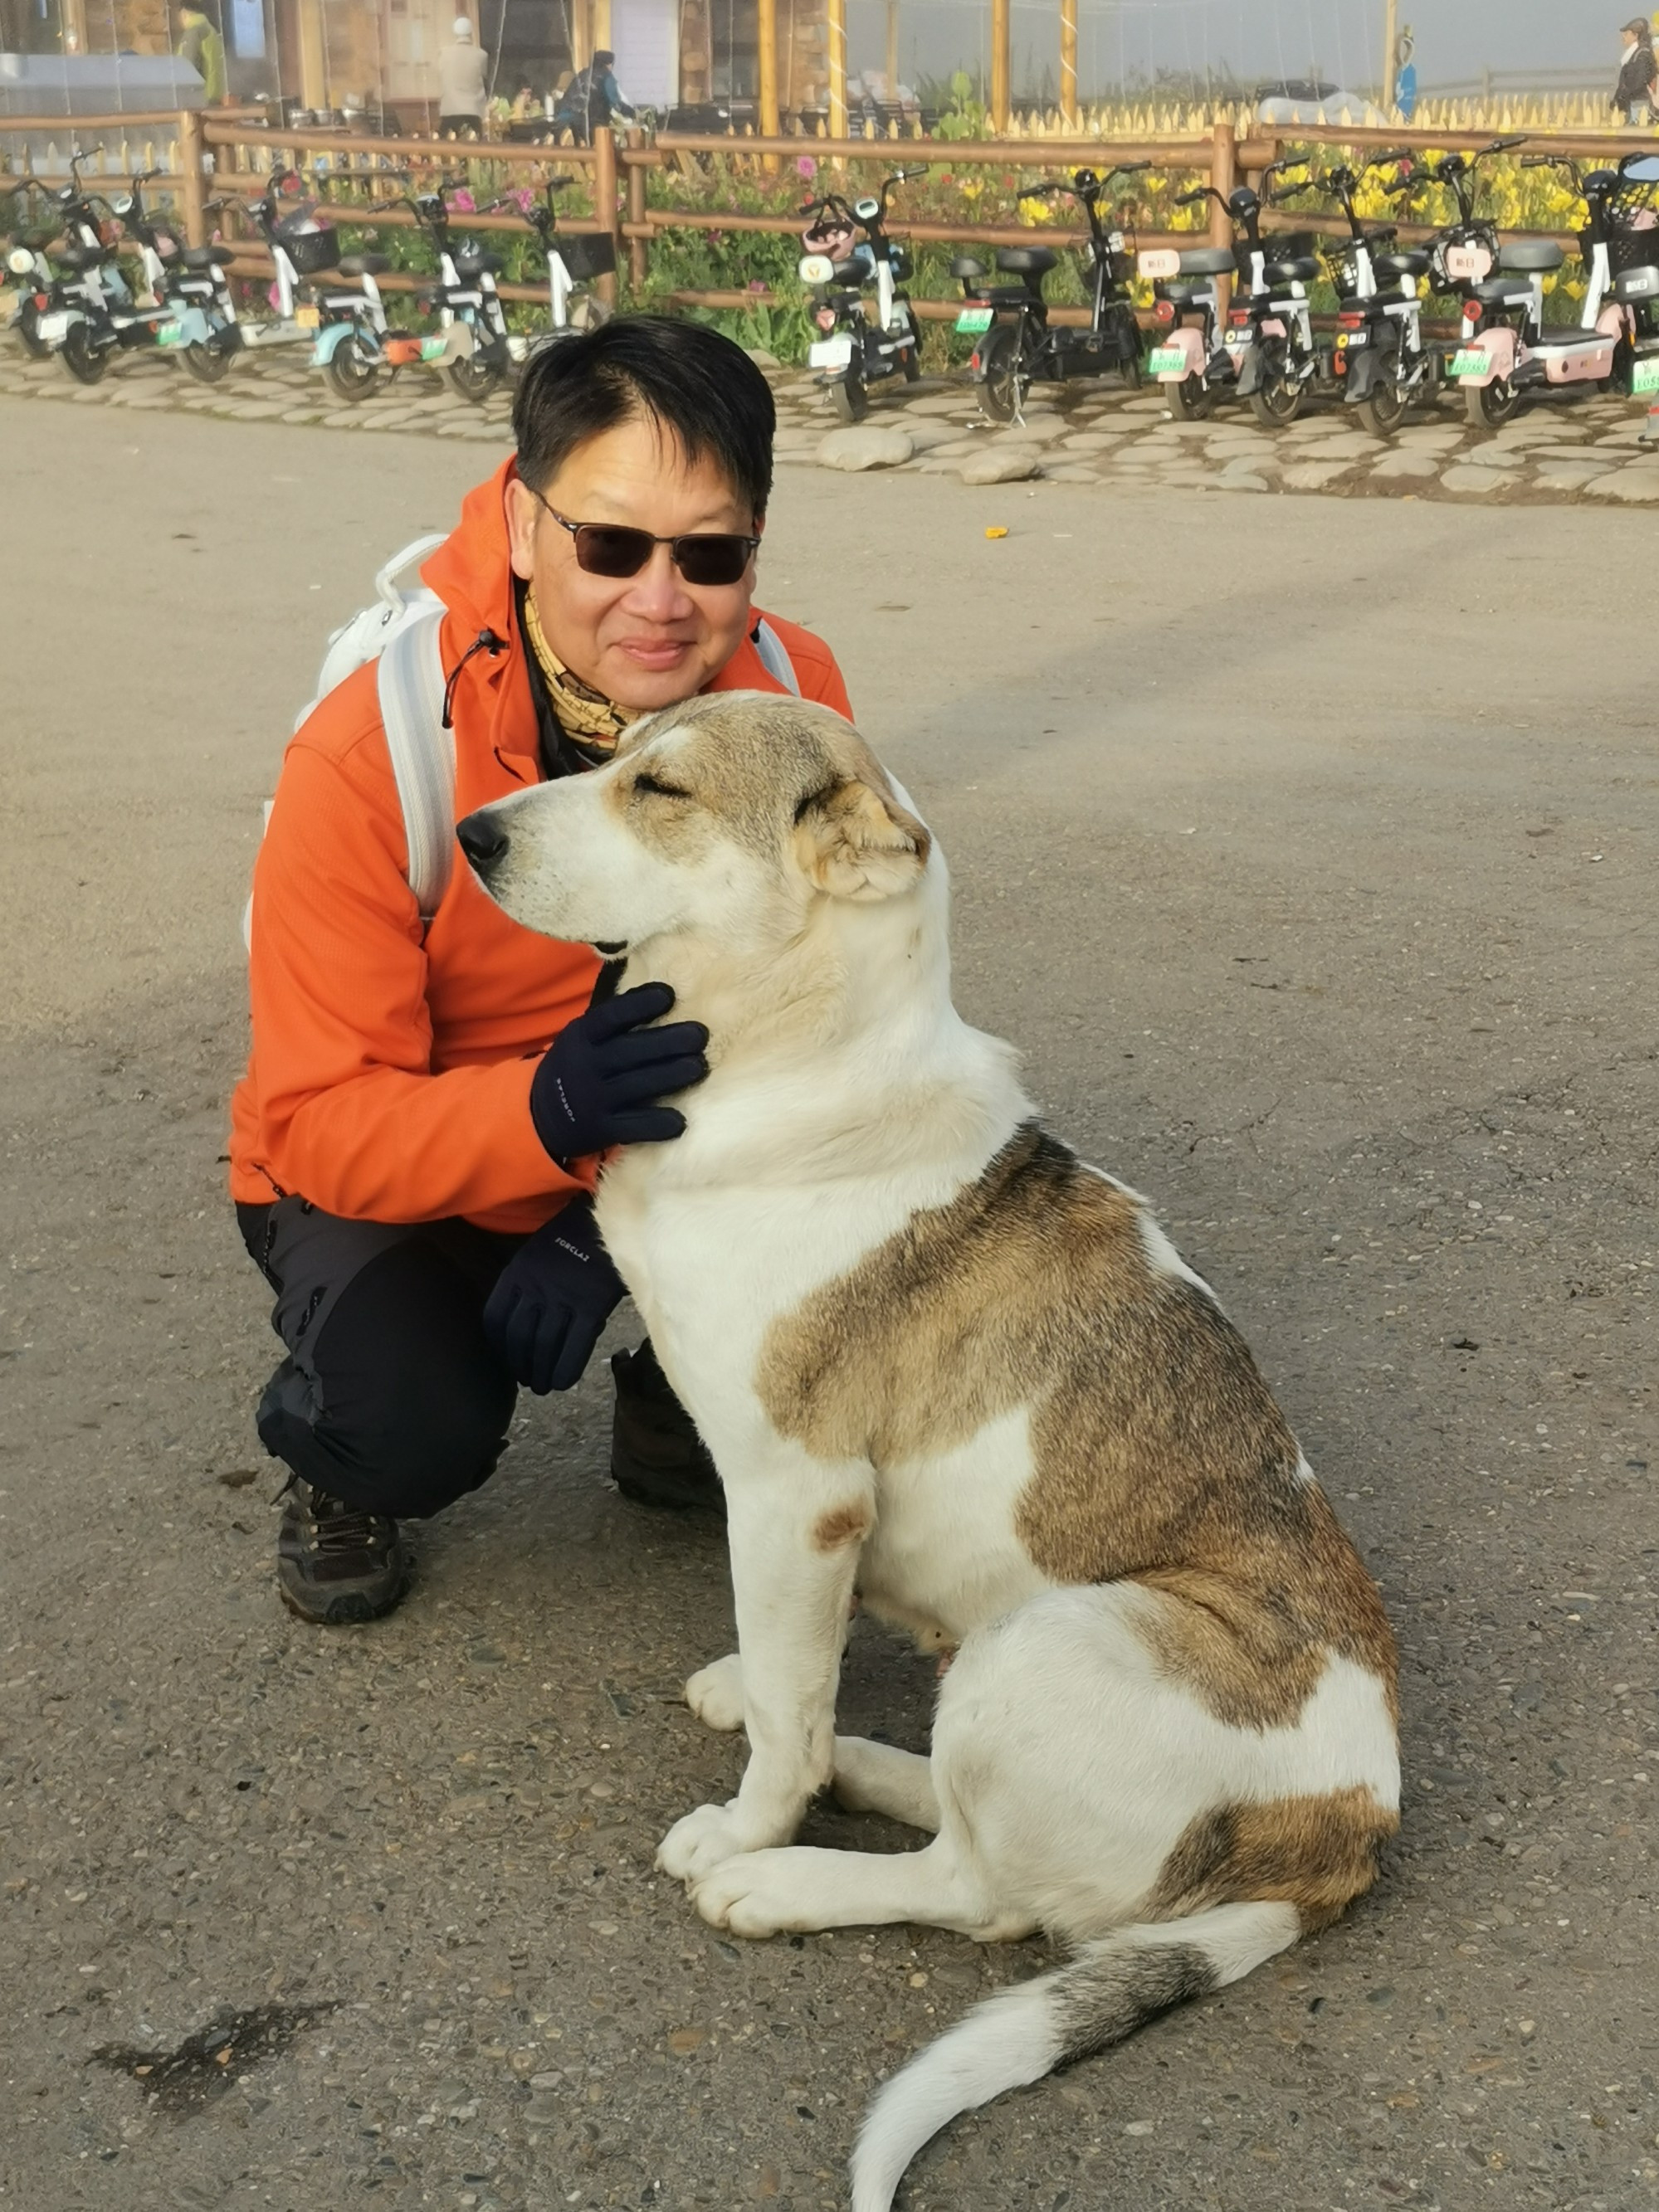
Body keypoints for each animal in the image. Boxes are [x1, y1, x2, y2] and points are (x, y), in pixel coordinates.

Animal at [457, 699, 1407, 2212]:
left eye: (659, 788)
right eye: (614, 752)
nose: (471, 834)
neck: (792, 1050)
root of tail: (1350, 1833)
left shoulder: (797, 1496)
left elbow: (790, 1709)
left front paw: (749, 1829)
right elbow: (788, 1679)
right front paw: (771, 1723)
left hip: (1051, 1643)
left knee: (980, 1893)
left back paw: (786, 1880)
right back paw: (854, 1760)